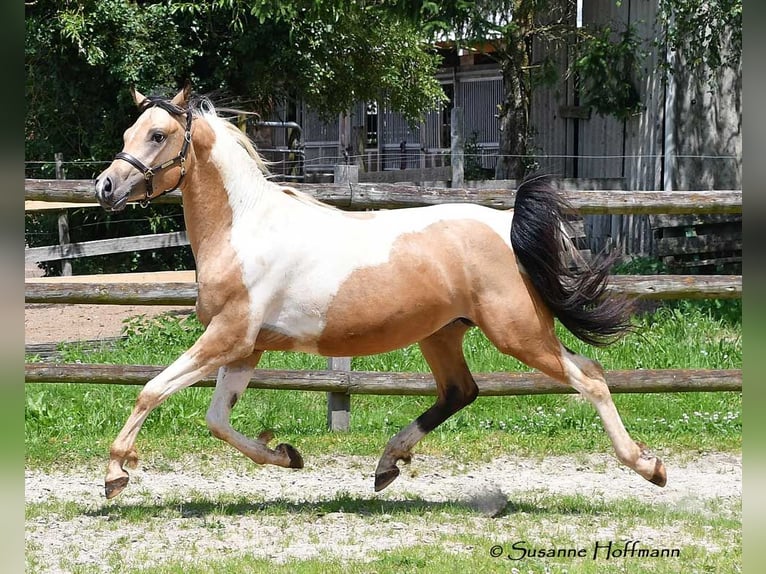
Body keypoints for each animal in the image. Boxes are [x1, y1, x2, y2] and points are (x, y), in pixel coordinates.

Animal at [94, 83, 664, 502]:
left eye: (159, 134)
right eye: (128, 130)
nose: (105, 186)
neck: (245, 229)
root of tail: (506, 226)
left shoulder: (228, 335)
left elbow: (152, 389)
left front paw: (117, 473)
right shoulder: (246, 348)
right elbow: (216, 420)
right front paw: (287, 455)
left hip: (517, 332)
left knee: (589, 376)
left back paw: (649, 466)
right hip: (442, 334)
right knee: (460, 391)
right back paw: (387, 464)